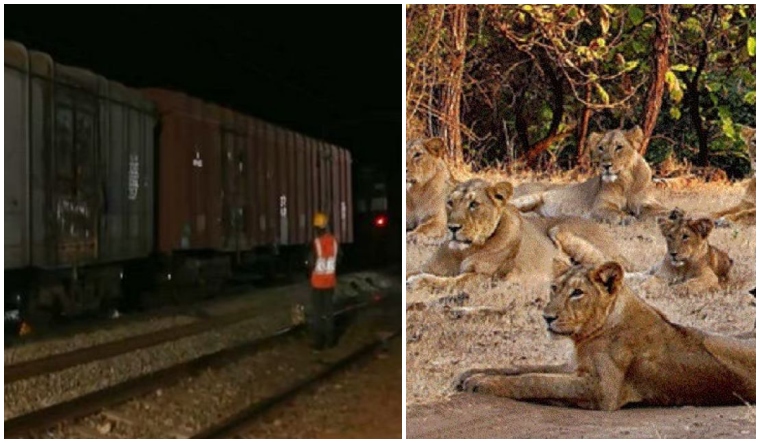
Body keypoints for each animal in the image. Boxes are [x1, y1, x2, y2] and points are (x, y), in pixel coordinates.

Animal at [406, 179, 628, 290]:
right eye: (450, 203)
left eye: (474, 204)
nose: (452, 228)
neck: (462, 251)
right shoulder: (430, 266)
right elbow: (415, 271)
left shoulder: (487, 278)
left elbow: (446, 281)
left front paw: (417, 282)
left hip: (559, 230)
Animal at [454, 260, 756, 412]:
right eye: (554, 288)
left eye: (577, 293)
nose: (546, 317)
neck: (585, 336)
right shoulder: (573, 367)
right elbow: (519, 368)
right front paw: (469, 374)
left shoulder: (602, 390)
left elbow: (535, 380)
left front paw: (481, 383)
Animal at [524, 127, 664, 225]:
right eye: (601, 148)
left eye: (619, 147)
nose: (606, 165)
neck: (625, 181)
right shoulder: (601, 206)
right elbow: (615, 212)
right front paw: (626, 217)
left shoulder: (647, 201)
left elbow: (655, 209)